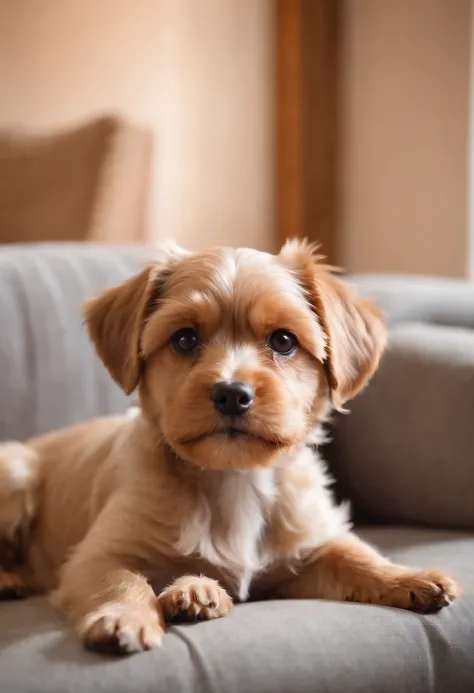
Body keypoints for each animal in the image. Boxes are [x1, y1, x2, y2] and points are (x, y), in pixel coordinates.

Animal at [0, 239, 460, 656]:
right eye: (185, 339)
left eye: (284, 341)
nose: (232, 394)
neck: (234, 477)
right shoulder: (94, 556)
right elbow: (122, 580)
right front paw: (124, 617)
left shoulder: (303, 552)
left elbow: (354, 554)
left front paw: (408, 577)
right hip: (16, 470)